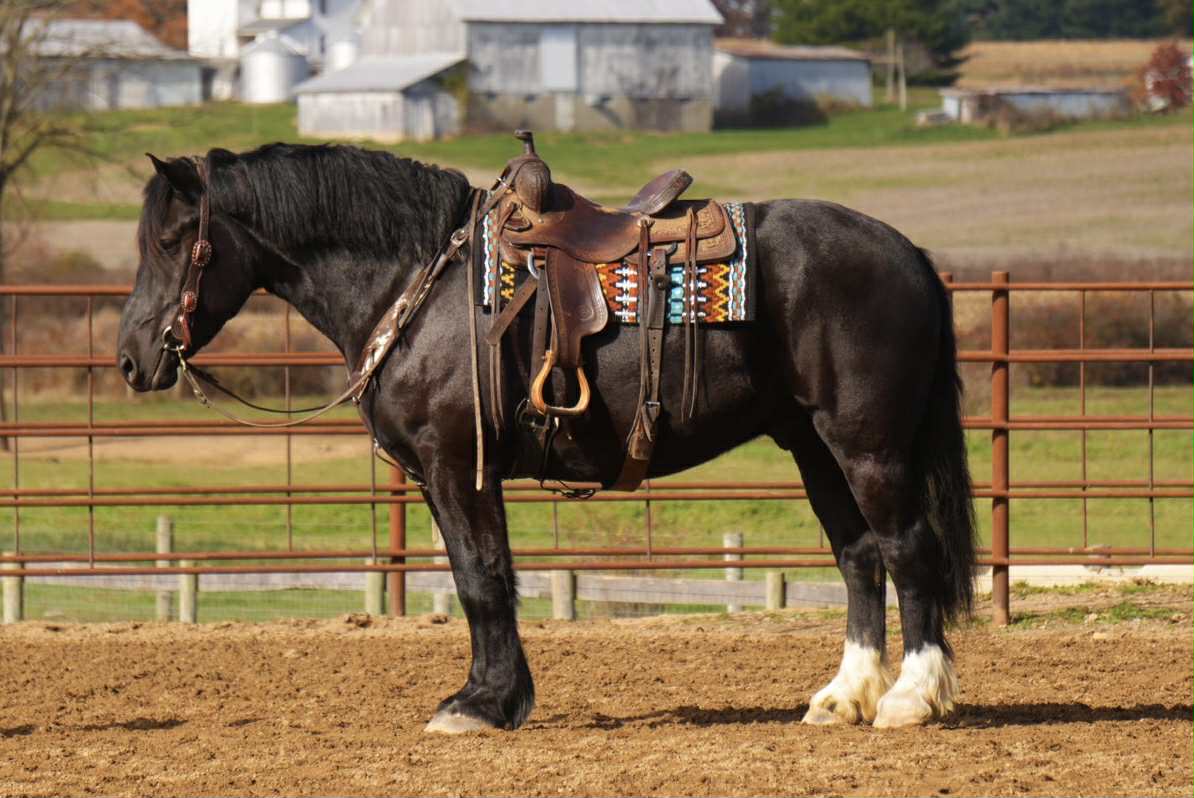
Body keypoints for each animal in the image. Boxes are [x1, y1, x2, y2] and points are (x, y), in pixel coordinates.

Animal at [116, 142, 976, 732]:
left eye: (173, 242)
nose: (131, 357)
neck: (419, 284)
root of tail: (909, 254)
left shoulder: (456, 465)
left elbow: (481, 578)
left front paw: (482, 704)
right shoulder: (445, 475)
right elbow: (483, 577)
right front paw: (492, 696)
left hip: (867, 446)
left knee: (907, 550)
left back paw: (910, 698)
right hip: (812, 446)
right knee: (859, 556)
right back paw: (843, 698)